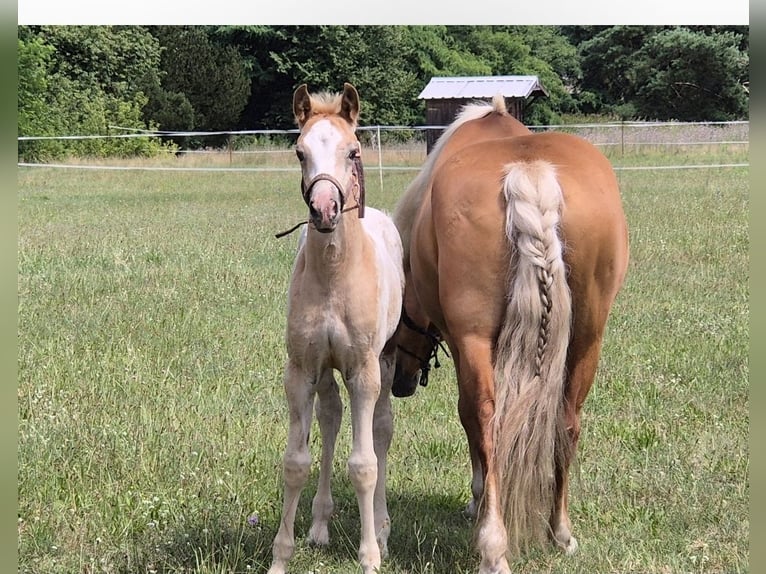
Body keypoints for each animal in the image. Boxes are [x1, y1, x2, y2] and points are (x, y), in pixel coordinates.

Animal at [267, 83, 404, 574]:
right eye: (300, 151)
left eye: (353, 150)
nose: (325, 210)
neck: (334, 274)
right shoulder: (301, 369)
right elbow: (295, 462)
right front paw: (281, 557)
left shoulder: (364, 370)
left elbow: (364, 465)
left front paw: (369, 557)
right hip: (327, 371)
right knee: (330, 418)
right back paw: (320, 524)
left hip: (385, 360)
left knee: (381, 430)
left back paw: (381, 528)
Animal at [390, 95, 629, 573]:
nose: (398, 382)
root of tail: (529, 174)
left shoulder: (462, 341)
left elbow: (468, 417)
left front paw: (477, 497)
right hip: (588, 336)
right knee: (567, 421)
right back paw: (560, 530)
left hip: (476, 338)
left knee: (485, 419)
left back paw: (493, 543)